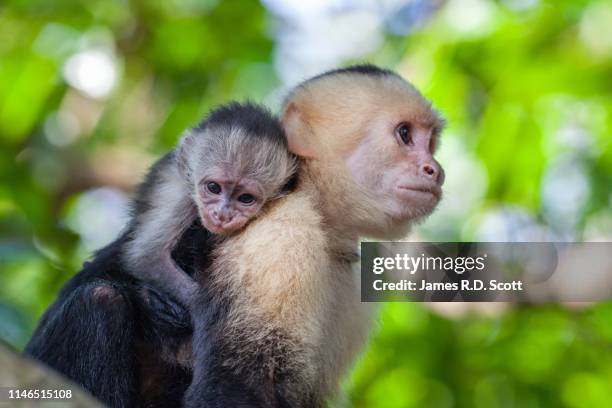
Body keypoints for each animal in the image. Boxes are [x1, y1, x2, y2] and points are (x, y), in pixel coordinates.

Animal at [183, 65, 444, 406]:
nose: (435, 170)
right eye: (404, 134)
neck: (314, 202)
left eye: (431, 142)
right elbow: (235, 384)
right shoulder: (280, 236)